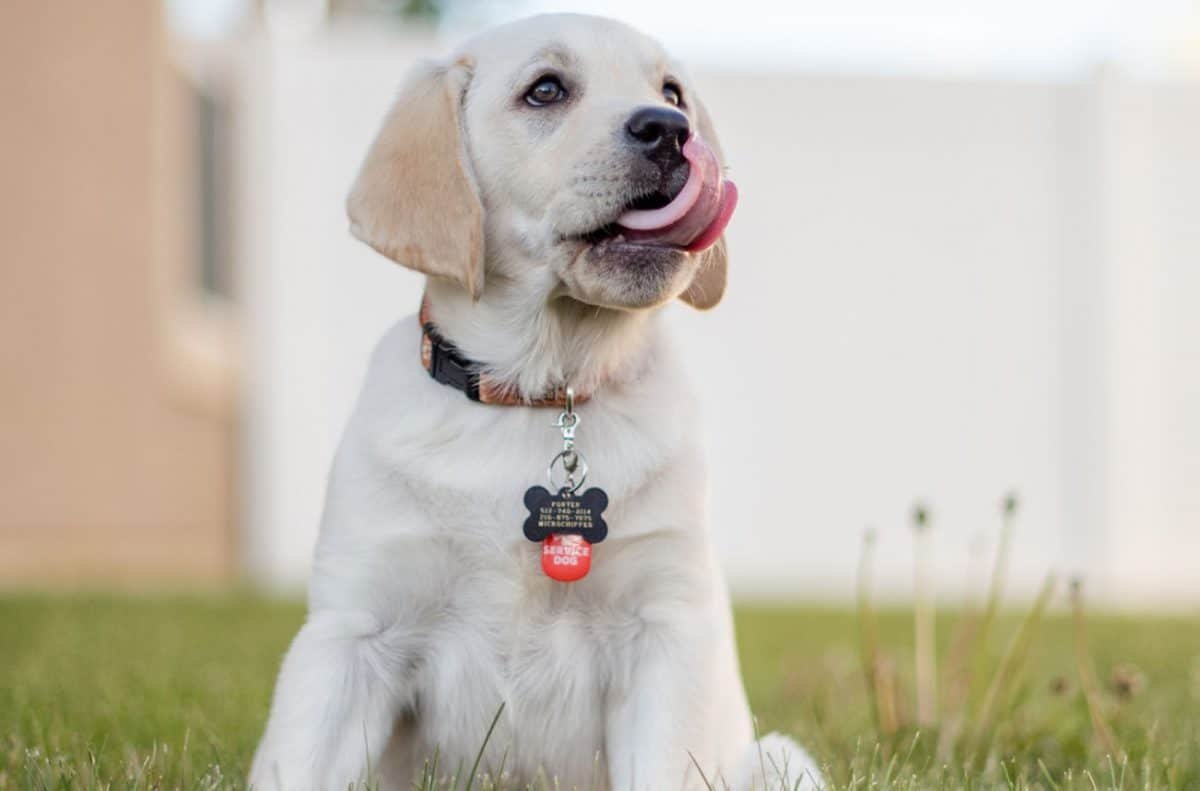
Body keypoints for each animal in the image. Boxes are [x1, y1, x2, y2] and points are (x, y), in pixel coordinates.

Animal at [248, 12, 820, 791]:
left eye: (671, 91)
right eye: (545, 90)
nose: (671, 130)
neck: (540, 393)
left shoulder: (664, 630)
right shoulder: (352, 631)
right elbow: (301, 760)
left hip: (779, 758)